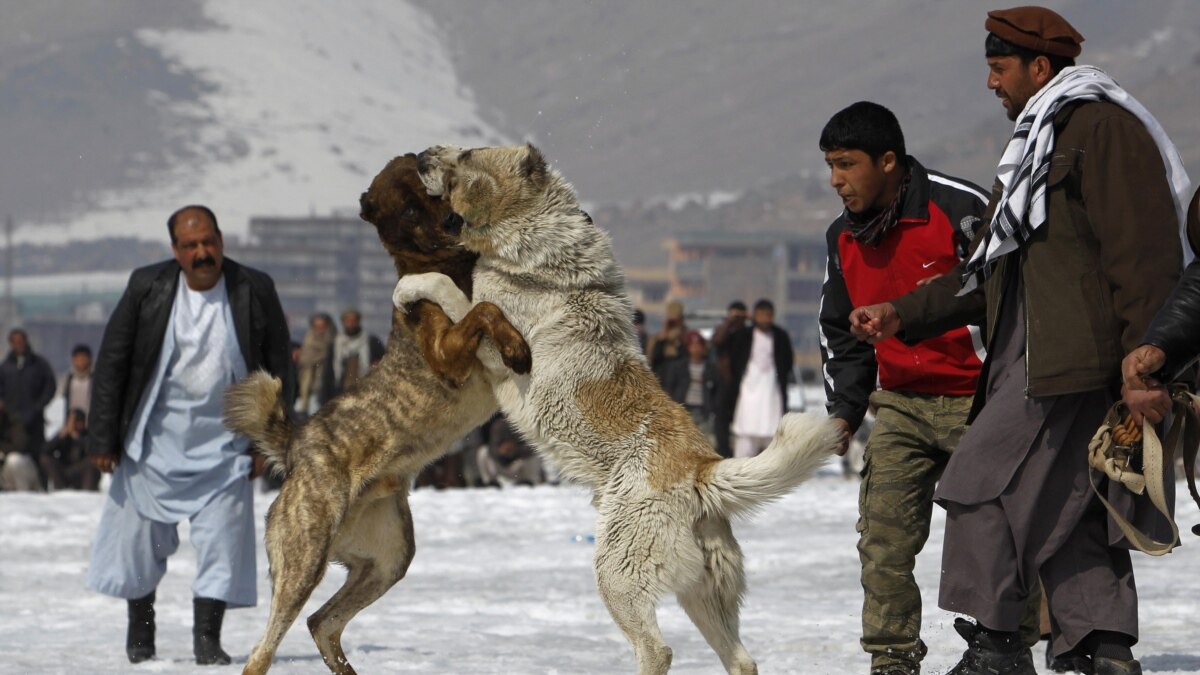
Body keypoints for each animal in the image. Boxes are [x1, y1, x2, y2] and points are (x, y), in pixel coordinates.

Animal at [225, 153, 525, 672]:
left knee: (322, 622)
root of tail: (296, 445)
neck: (446, 262)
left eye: (434, 192)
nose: (452, 222)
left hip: (390, 559)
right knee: (264, 650)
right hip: (305, 556)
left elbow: (487, 303)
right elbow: (484, 309)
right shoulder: (446, 355)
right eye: (406, 211)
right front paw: (512, 344)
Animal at [393, 142, 835, 672]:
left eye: (468, 155)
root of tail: (702, 470)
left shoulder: (495, 348)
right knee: (741, 659)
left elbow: (448, 288)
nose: (420, 154)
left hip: (617, 569)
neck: (535, 237)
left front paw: (408, 288)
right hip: (704, 594)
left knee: (656, 648)